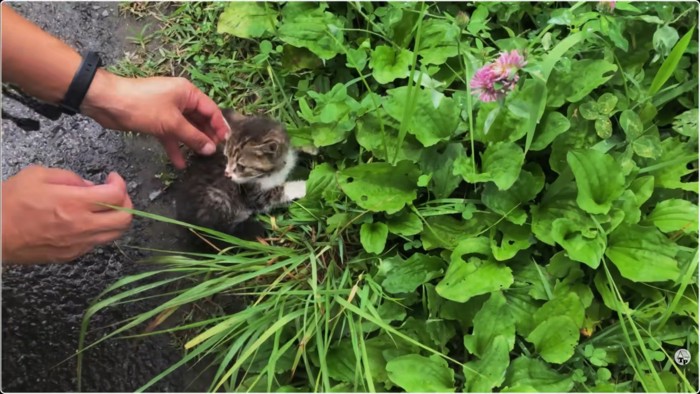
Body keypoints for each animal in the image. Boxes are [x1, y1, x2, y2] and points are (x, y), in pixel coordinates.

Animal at [174, 108, 304, 243]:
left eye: (241, 166)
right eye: (226, 157)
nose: (227, 174)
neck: (272, 172)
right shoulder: (253, 196)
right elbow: (276, 192)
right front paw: (304, 186)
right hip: (217, 198)